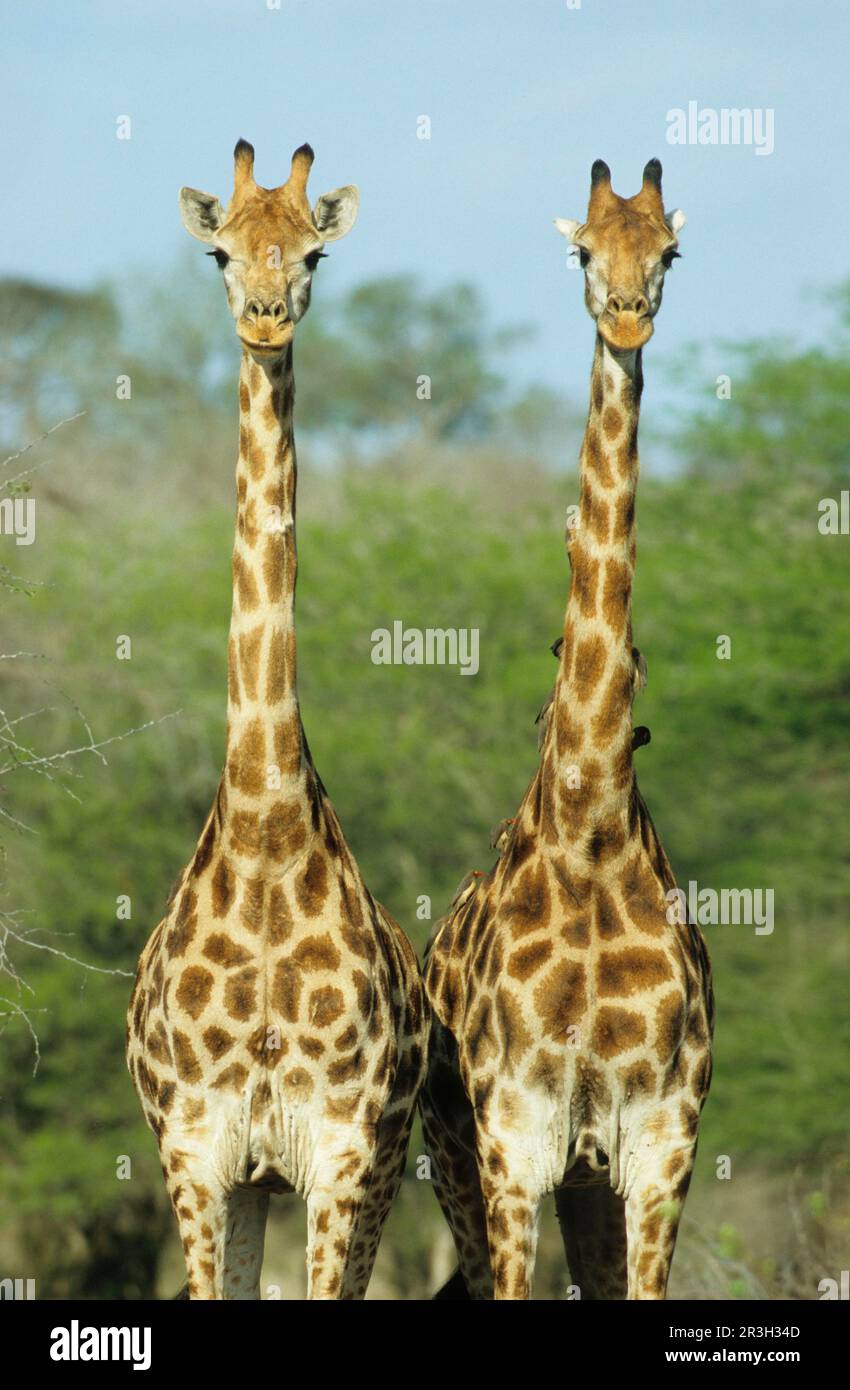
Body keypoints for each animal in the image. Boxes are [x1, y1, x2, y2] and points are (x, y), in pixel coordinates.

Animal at [126, 139, 428, 1300]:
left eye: (312, 254)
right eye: (218, 249)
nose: (263, 317)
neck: (262, 829)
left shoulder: (337, 1151)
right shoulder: (201, 1156)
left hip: (384, 1167)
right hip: (257, 1186)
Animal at [420, 159, 713, 1301]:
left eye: (669, 250)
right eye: (582, 252)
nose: (627, 318)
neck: (590, 829)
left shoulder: (658, 1142)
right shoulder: (516, 1142)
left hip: (588, 1187)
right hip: (458, 1163)